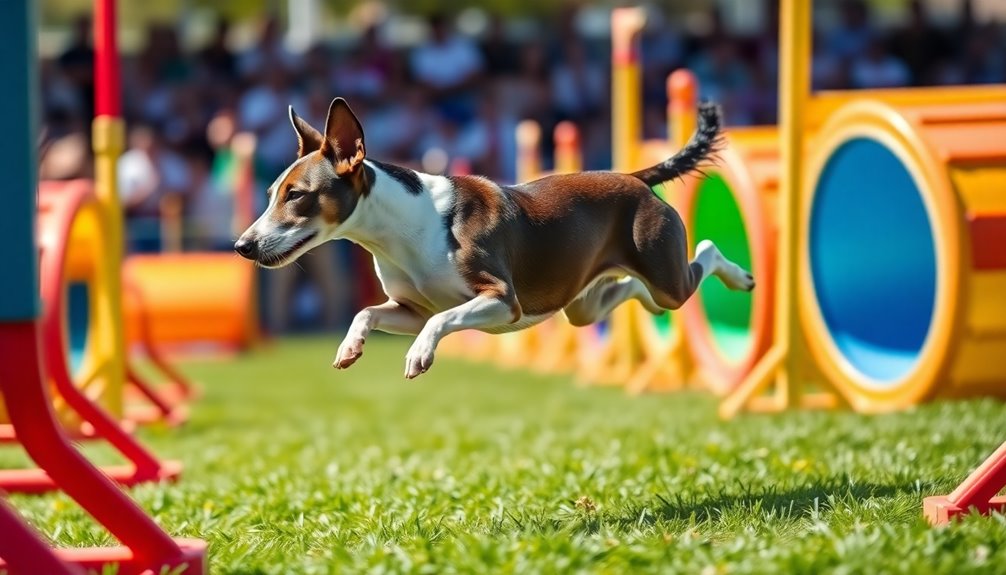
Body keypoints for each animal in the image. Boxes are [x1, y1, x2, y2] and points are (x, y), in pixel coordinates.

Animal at [235, 99, 756, 377]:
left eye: (297, 195)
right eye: (271, 193)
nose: (243, 246)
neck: (400, 229)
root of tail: (634, 178)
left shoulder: (503, 300)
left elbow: (442, 319)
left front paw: (419, 354)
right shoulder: (409, 308)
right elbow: (369, 312)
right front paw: (349, 347)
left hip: (667, 278)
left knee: (703, 256)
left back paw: (741, 277)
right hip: (585, 305)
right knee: (630, 292)